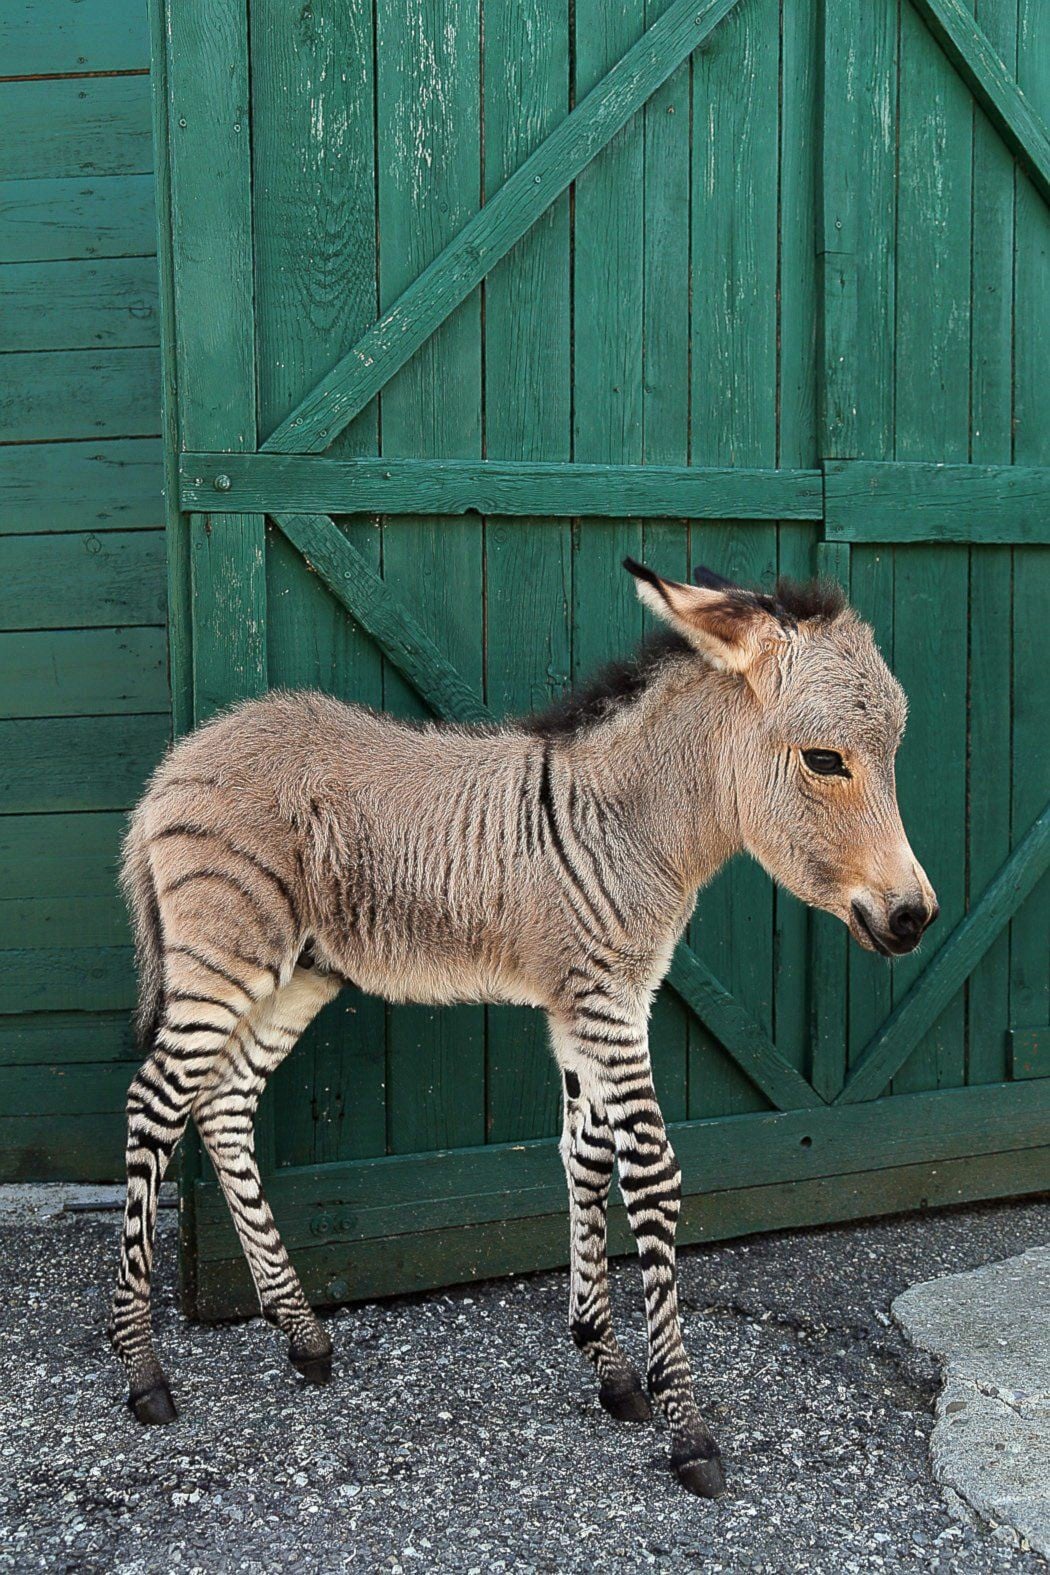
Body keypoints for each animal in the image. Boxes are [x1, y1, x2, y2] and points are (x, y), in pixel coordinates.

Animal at [113, 560, 938, 1493]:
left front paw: (608, 1365)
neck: (633, 826)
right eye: (825, 760)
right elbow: (651, 1174)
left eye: (891, 755)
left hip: (297, 972)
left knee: (221, 1106)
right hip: (226, 956)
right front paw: (688, 1428)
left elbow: (585, 1154)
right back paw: (143, 1372)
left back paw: (304, 1336)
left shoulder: (590, 1003)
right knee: (155, 1105)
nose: (915, 918)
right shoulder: (605, 999)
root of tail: (181, 758)